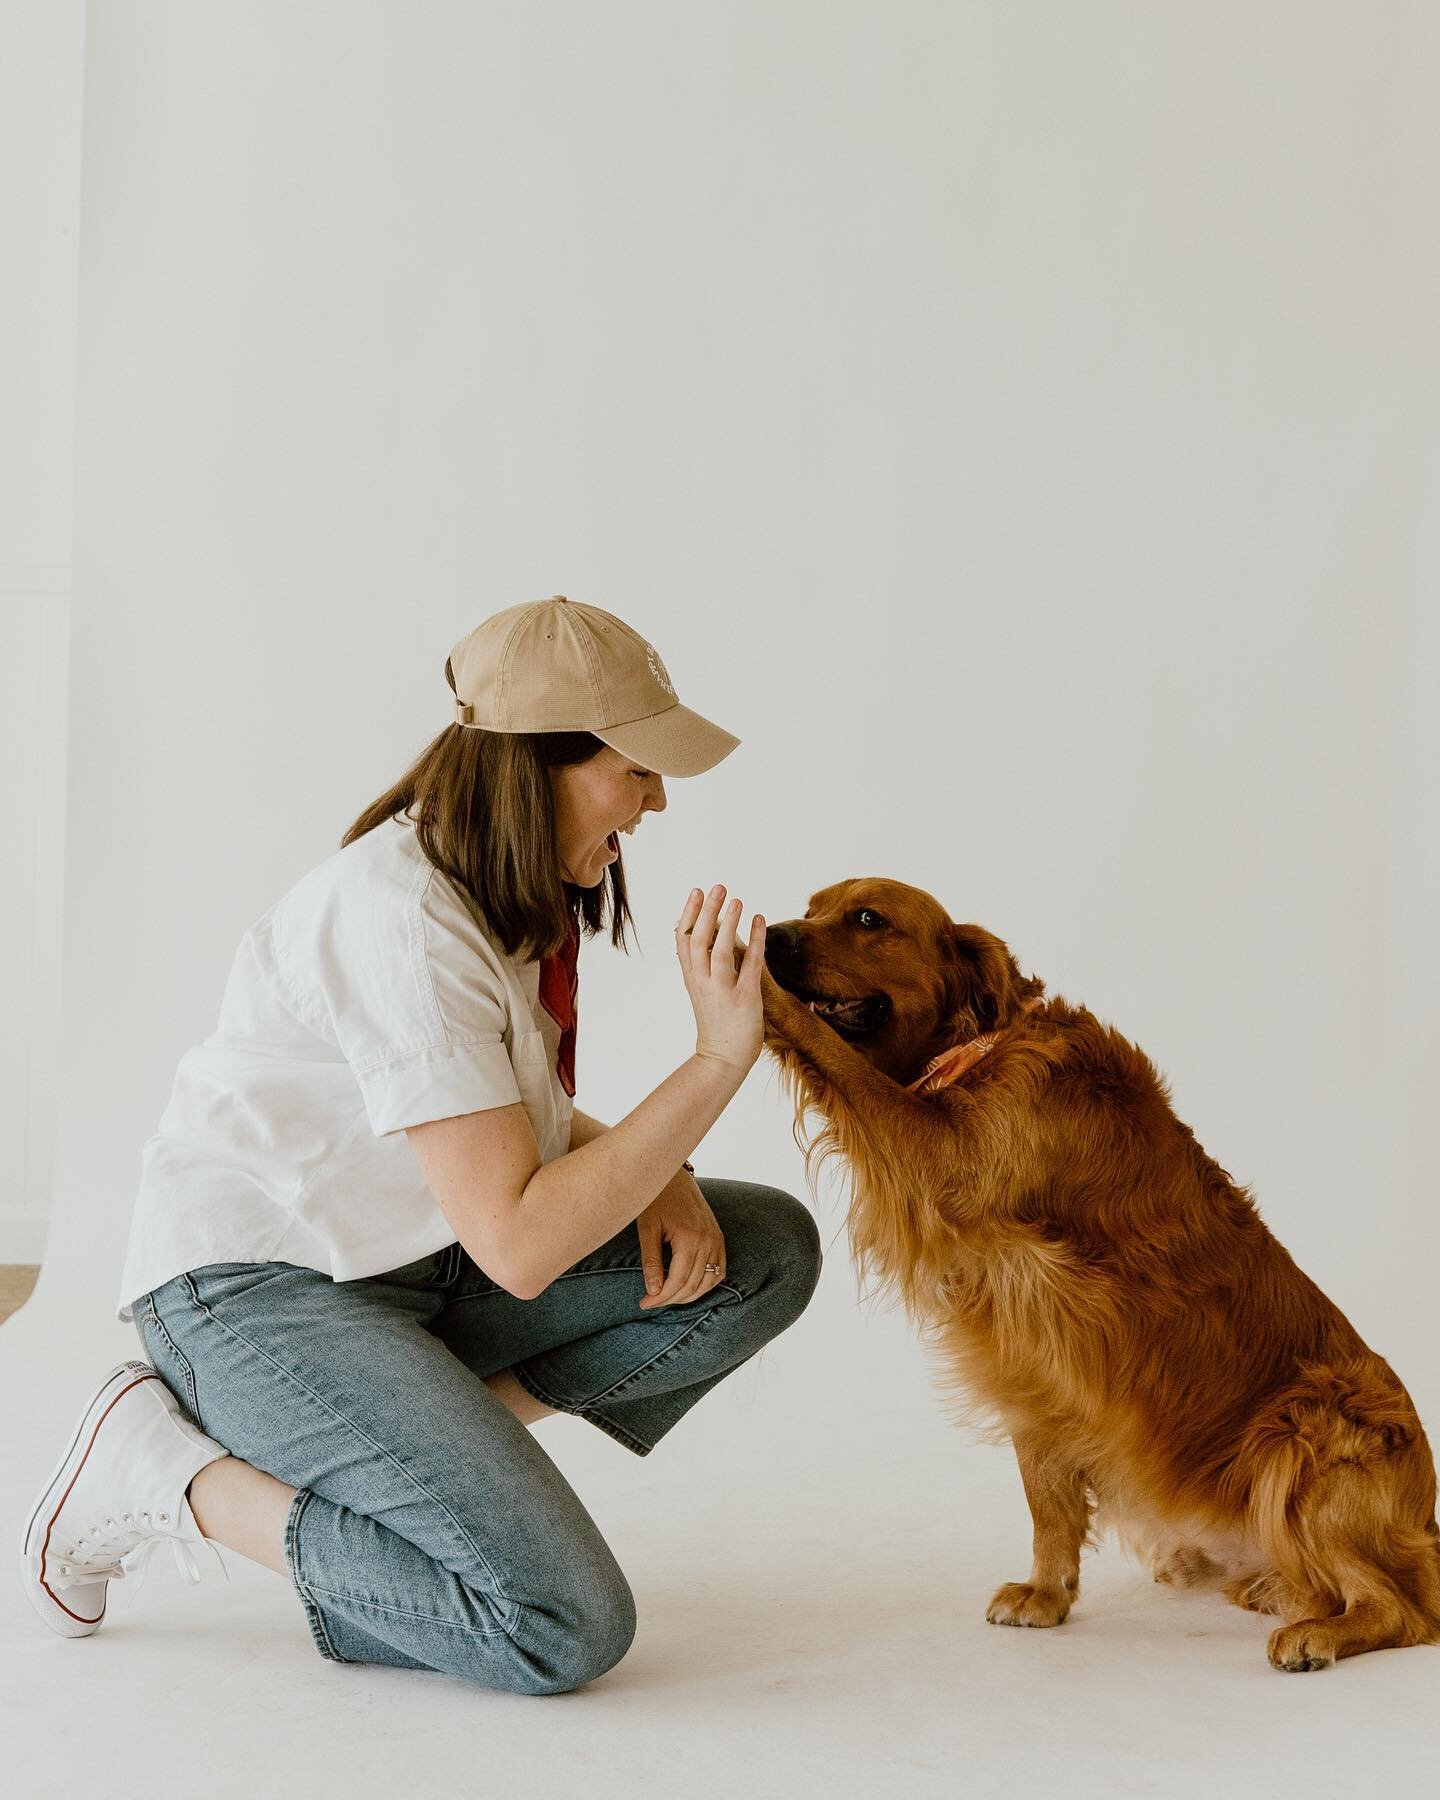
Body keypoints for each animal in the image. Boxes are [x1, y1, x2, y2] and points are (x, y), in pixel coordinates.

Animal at [759, 878, 1432, 1677]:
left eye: (867, 919)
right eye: (812, 907)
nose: (772, 937)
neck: (978, 1051)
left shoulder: (947, 1161)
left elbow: (837, 1053)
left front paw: (753, 986)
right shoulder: (1034, 1369)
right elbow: (1047, 1504)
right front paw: (1048, 1594)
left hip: (1304, 1437)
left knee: (1404, 1609)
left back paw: (1318, 1632)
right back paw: (1279, 1591)